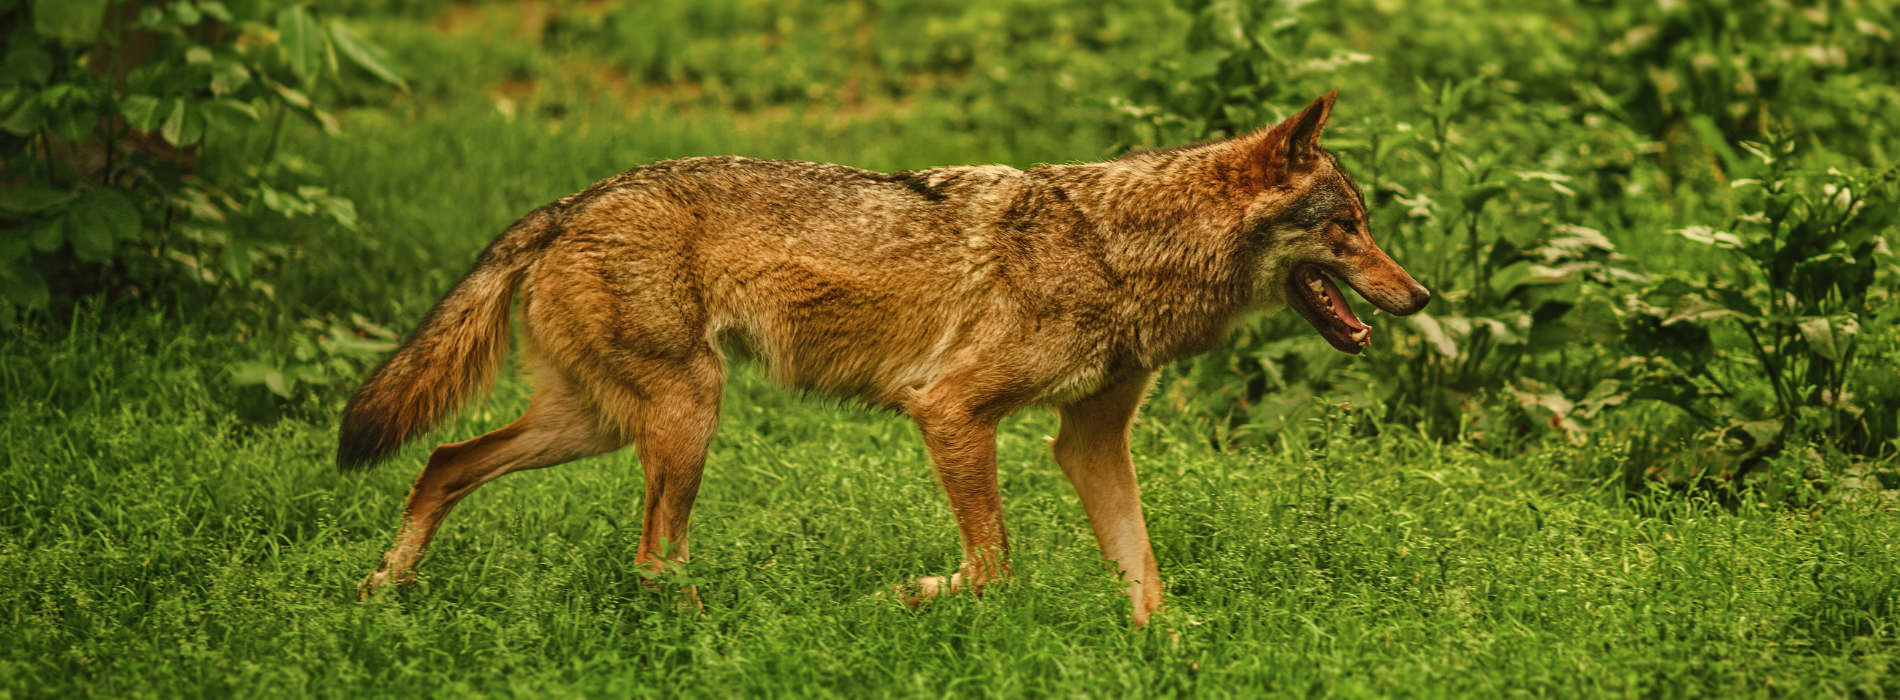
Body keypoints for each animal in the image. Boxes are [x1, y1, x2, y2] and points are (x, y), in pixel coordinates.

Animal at [339, 92, 1428, 625]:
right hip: (685, 418)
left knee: (444, 463)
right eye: (1349, 228)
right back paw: (713, 637)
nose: (1420, 297)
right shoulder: (949, 410)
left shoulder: (1087, 442)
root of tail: (572, 201)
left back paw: (381, 594)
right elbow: (991, 570)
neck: (1120, 252)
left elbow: (1145, 580)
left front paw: (1168, 657)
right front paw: (901, 599)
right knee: (651, 558)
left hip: (601, 424)